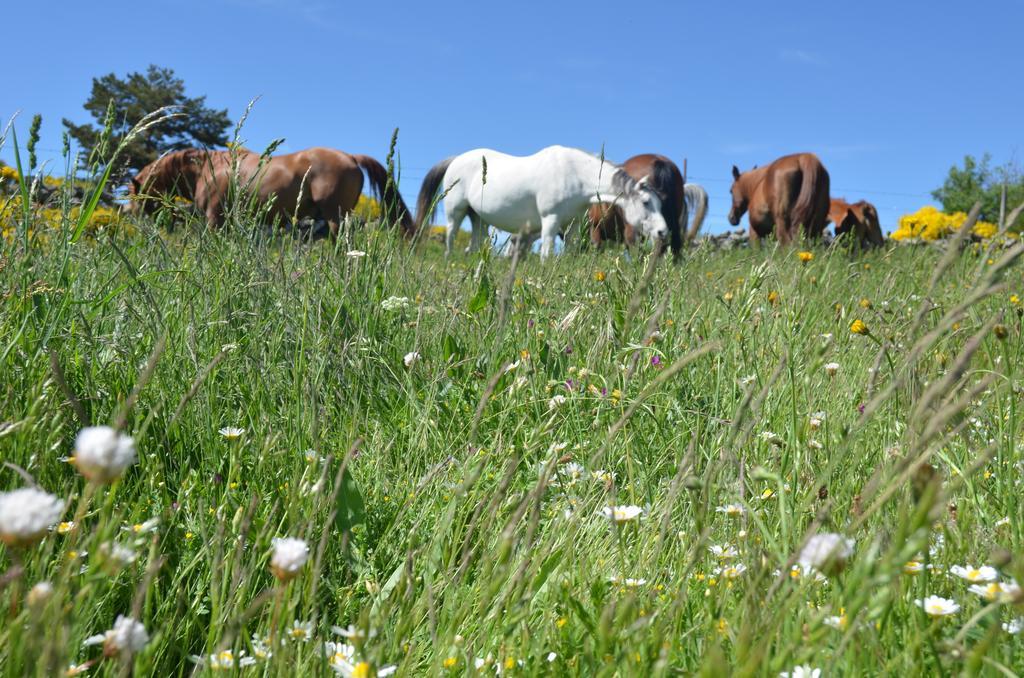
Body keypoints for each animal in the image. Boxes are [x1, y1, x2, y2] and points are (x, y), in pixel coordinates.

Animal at [130, 146, 413, 236]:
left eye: (136, 196)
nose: (135, 216)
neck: (207, 170)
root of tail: (351, 157)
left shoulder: (215, 219)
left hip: (336, 216)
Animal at [415, 144, 671, 259]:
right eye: (646, 202)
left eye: (660, 204)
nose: (662, 231)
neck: (574, 174)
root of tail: (455, 159)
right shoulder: (550, 221)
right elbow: (546, 254)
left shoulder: (572, 226)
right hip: (455, 213)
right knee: (450, 238)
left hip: (478, 218)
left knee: (474, 244)